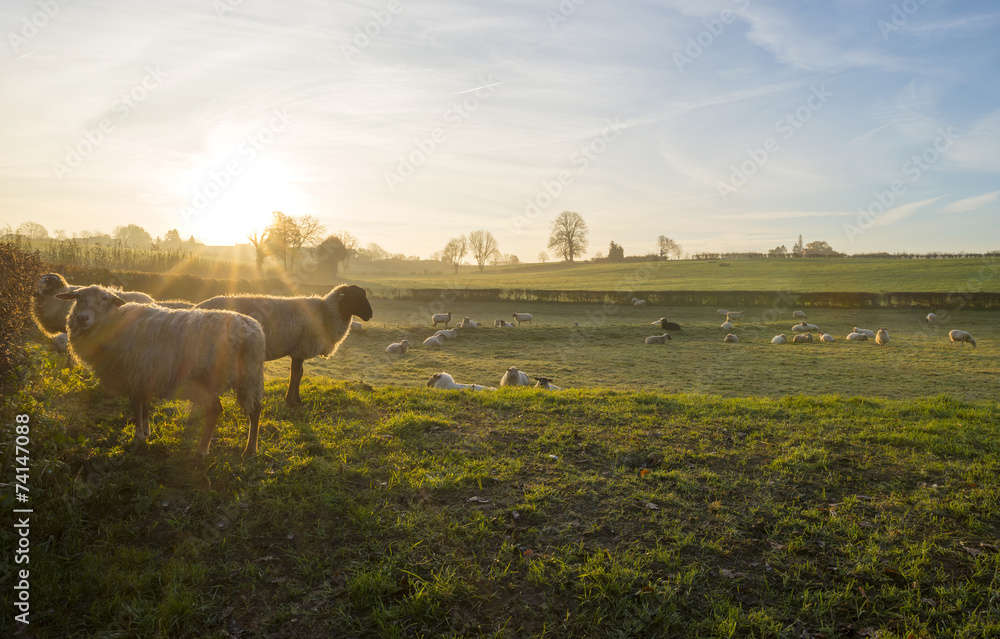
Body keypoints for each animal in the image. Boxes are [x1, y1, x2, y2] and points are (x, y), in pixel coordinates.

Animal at [56, 285, 265, 457]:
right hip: (250, 377)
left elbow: (136, 405)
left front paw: (138, 435)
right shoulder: (145, 375)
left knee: (215, 409)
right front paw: (147, 430)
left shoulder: (133, 373)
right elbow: (145, 403)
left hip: (207, 379)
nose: (82, 318)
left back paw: (202, 450)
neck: (115, 321)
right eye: (78, 297)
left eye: (105, 299)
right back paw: (250, 449)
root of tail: (249, 330)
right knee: (256, 409)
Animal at [195, 284, 373, 407]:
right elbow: (295, 375)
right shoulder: (301, 348)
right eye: (353, 296)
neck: (325, 313)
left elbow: (300, 374)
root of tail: (197, 307)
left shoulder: (299, 349)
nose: (370, 314)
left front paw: (298, 399)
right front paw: (291, 401)